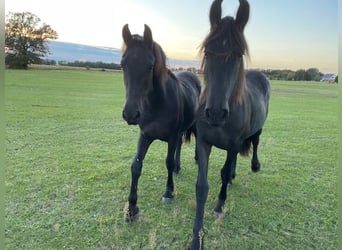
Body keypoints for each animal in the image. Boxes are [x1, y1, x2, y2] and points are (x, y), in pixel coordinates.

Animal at [121, 24, 202, 222]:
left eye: (150, 66)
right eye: (123, 64)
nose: (131, 114)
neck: (157, 104)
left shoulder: (171, 137)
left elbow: (168, 162)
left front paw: (168, 192)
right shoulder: (145, 136)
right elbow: (136, 166)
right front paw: (132, 207)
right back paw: (179, 168)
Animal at [190, 0, 270, 248]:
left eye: (239, 53)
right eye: (208, 51)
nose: (215, 113)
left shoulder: (234, 144)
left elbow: (223, 174)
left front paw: (219, 205)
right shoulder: (203, 143)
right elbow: (202, 186)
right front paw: (196, 237)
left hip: (257, 130)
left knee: (255, 142)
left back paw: (255, 165)